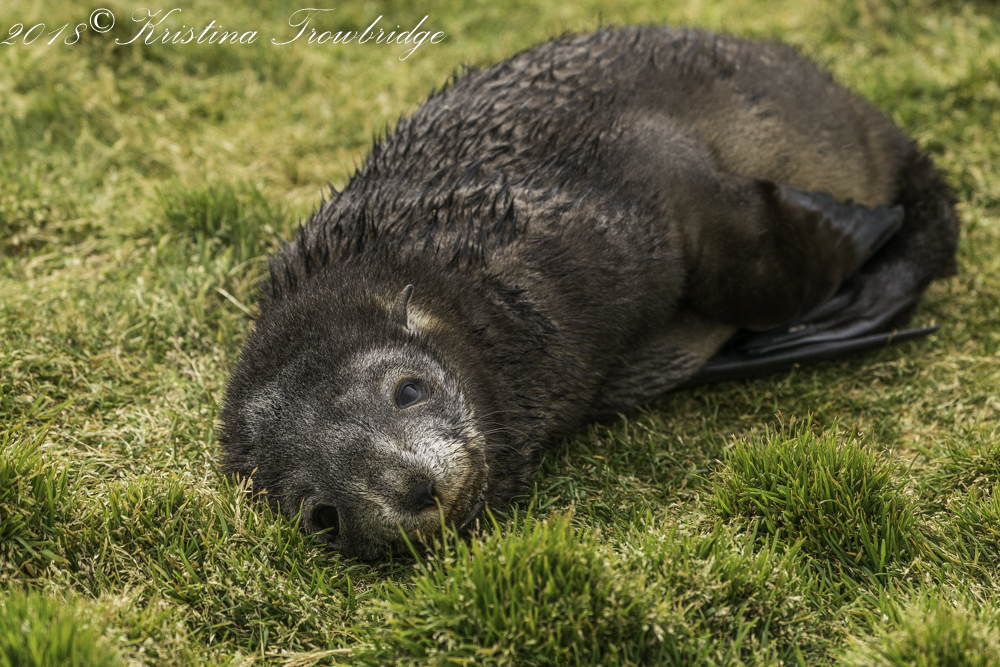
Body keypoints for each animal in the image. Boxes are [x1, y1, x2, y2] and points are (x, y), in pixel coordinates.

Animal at [219, 26, 959, 560]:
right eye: (323, 516)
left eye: (408, 389)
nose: (412, 488)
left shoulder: (650, 182)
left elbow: (750, 268)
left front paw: (858, 228)